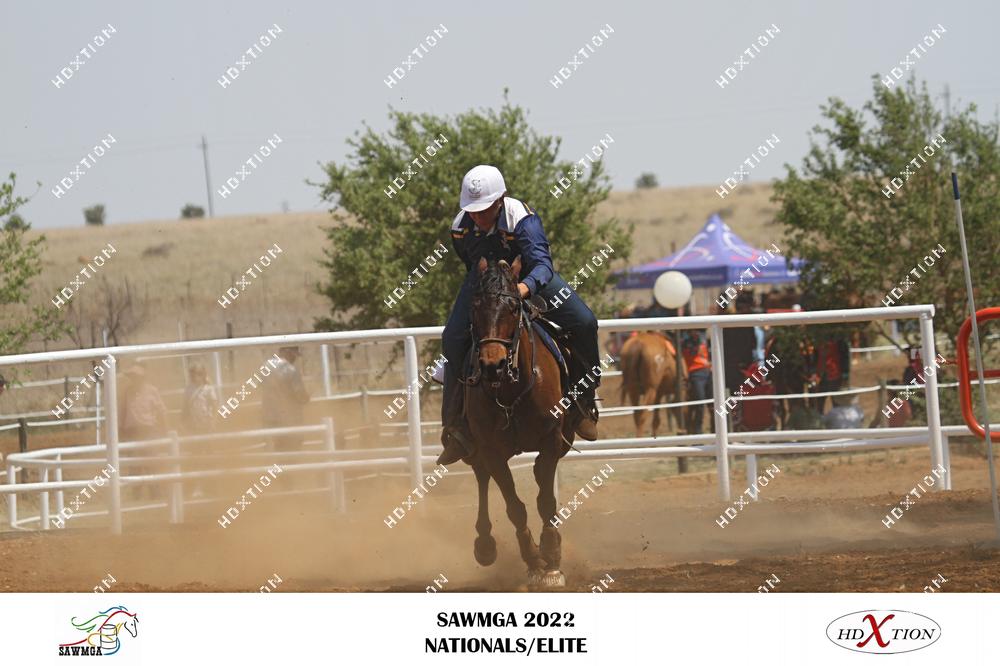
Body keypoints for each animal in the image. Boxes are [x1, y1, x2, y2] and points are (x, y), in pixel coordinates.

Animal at [463, 256, 575, 588]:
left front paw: (551, 558)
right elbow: (514, 507)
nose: (492, 365)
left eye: (513, 308)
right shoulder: (490, 450)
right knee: (482, 477)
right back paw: (485, 543)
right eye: (474, 307)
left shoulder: (551, 439)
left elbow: (545, 500)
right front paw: (534, 560)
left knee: (538, 475)